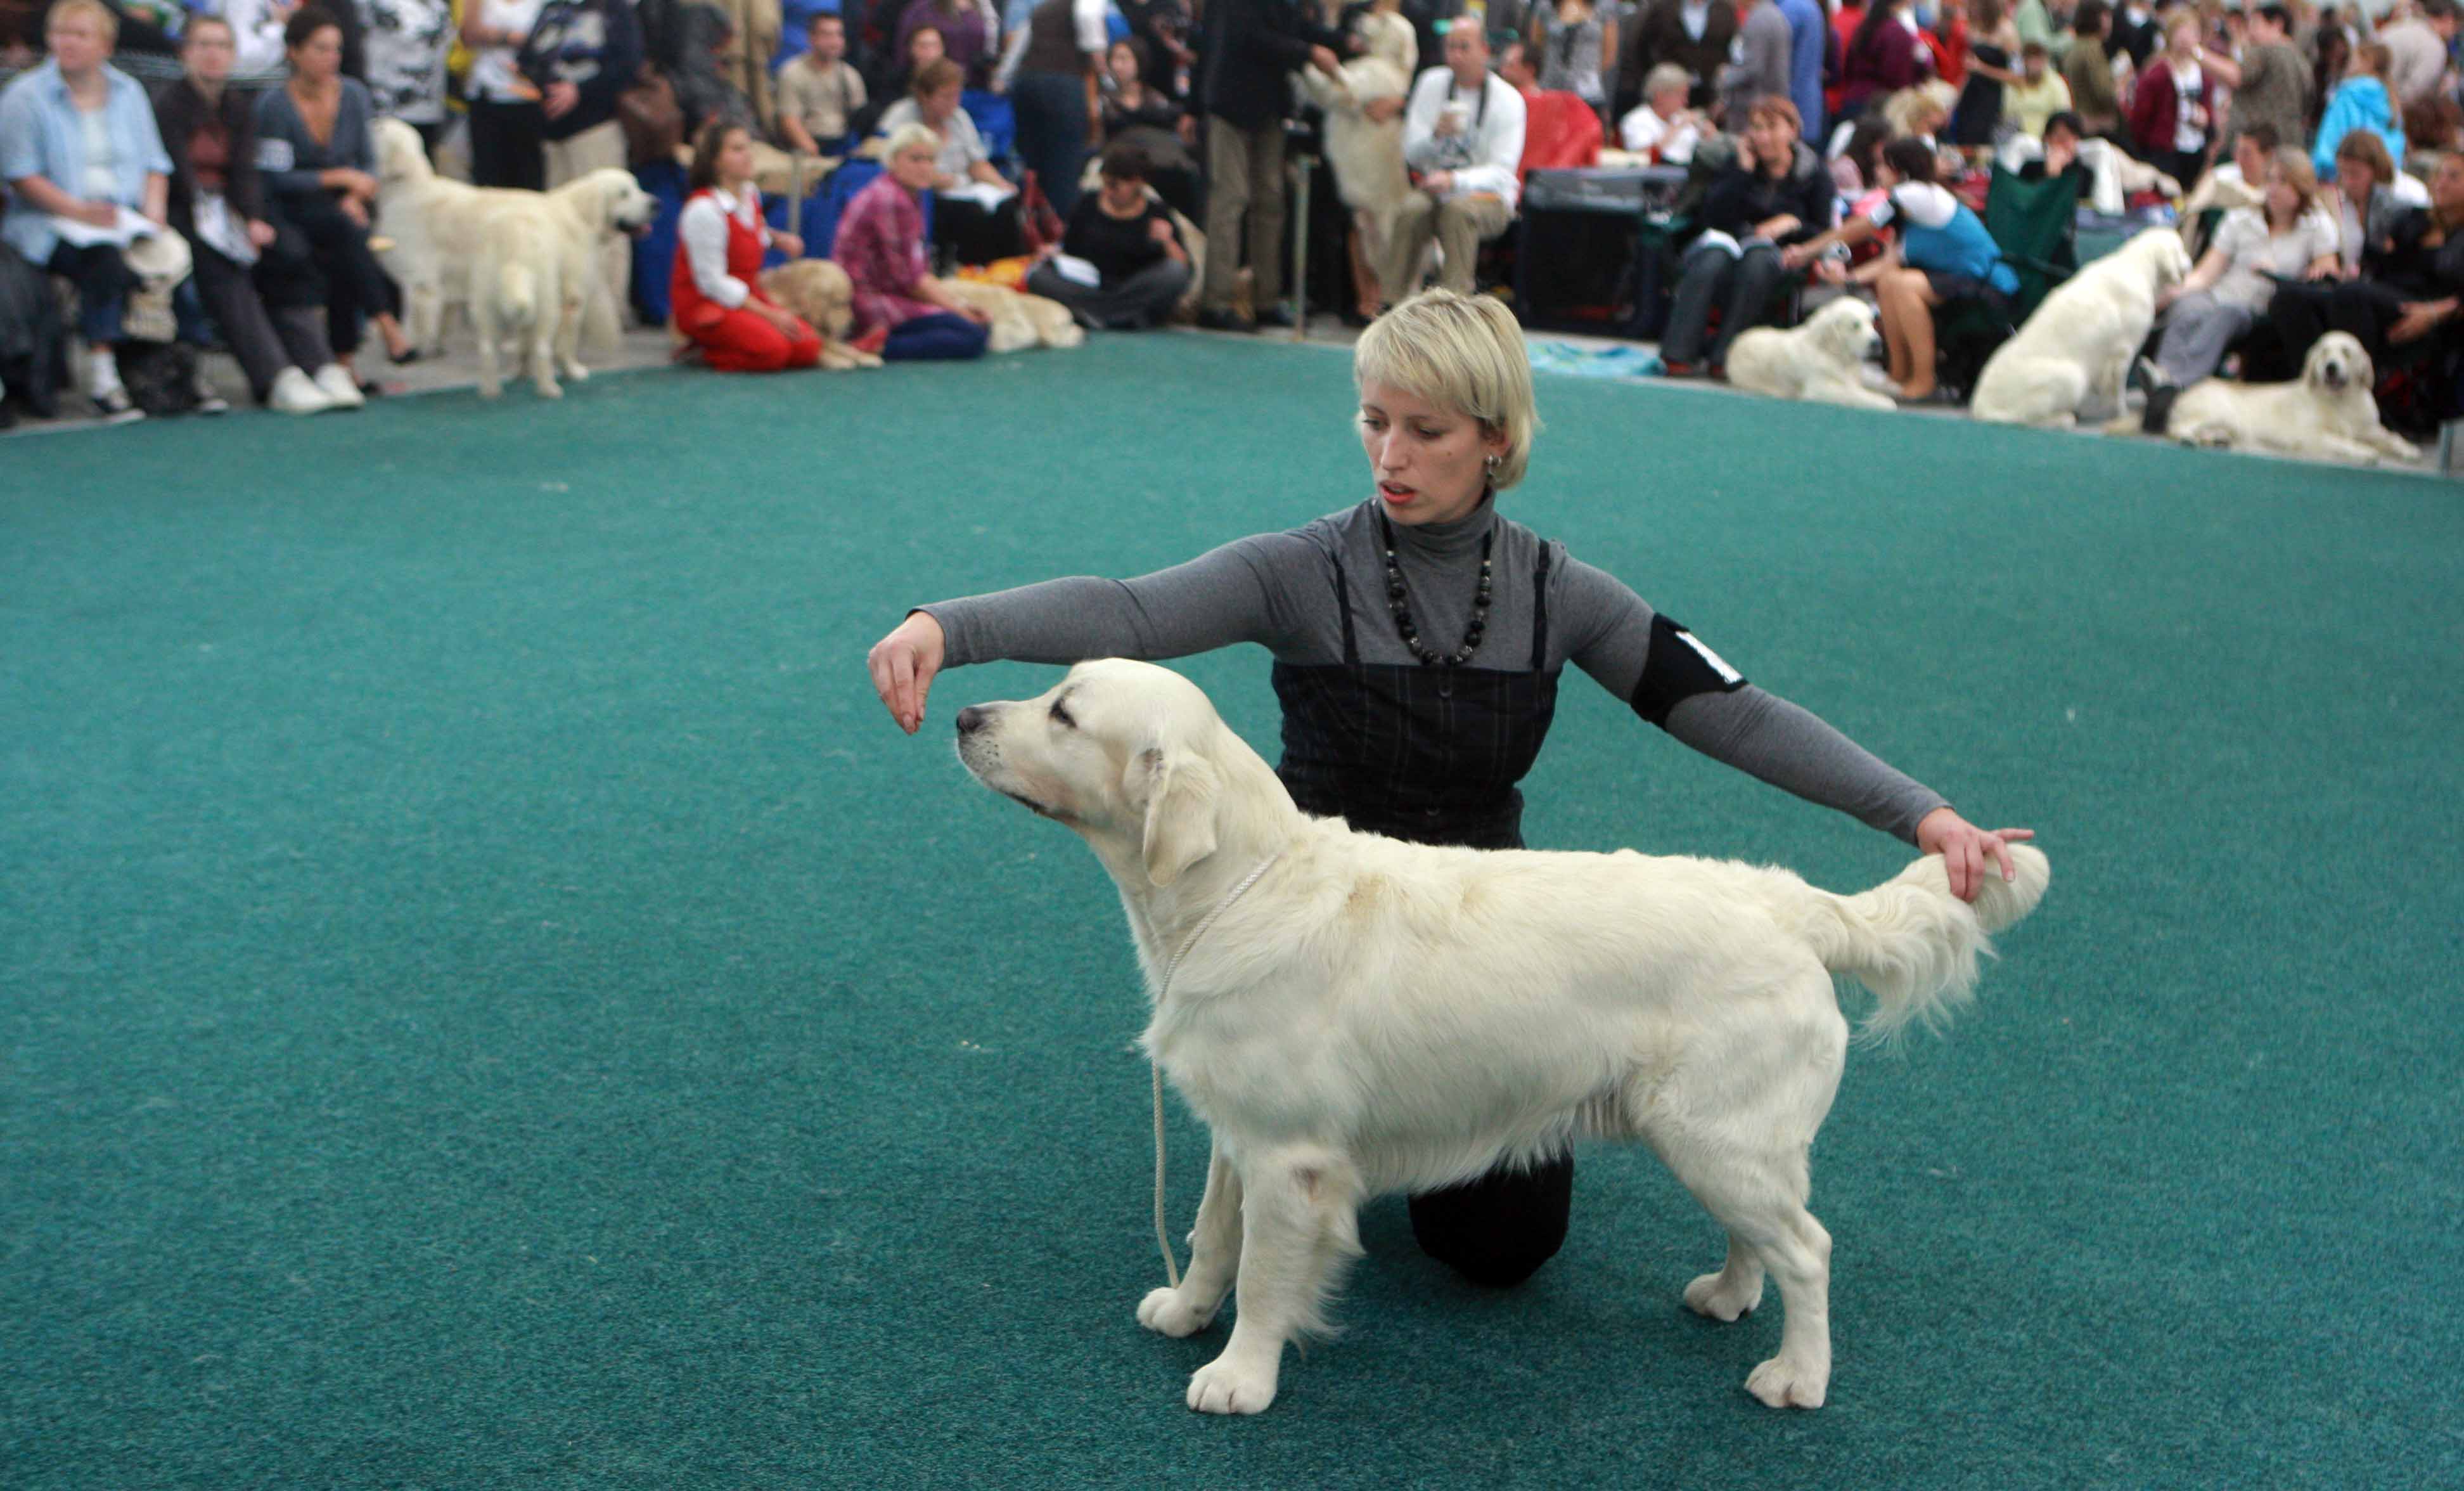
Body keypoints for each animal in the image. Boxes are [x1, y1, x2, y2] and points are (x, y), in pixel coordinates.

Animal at [470, 169, 660, 399]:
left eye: (638, 187)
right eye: (624, 194)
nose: (656, 204)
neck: (583, 215)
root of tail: (513, 235)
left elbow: (524, 342)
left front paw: (522, 373)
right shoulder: (574, 299)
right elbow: (565, 345)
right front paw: (573, 372)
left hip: (488, 302)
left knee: (487, 350)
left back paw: (490, 391)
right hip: (547, 301)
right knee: (542, 348)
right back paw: (549, 389)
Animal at [951, 655, 2050, 1409]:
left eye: (1064, 711)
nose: (963, 714)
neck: (1235, 893)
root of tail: (1791, 904)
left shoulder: (1290, 1157)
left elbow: (1264, 1270)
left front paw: (1240, 1377)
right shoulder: (1238, 1134)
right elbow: (1213, 1236)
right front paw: (1185, 1314)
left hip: (1716, 1135)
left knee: (1811, 1250)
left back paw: (1796, 1375)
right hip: (1720, 1140)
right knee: (1766, 1237)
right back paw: (1729, 1297)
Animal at [1724, 293, 1892, 409]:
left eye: (1871, 322)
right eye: (1855, 325)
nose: (1877, 343)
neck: (1833, 353)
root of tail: (1736, 342)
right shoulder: (1818, 388)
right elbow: (1853, 394)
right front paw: (1884, 402)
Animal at [1961, 226, 2198, 426]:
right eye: (2182, 250)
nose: (2192, 262)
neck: (2140, 265)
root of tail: (1981, 407)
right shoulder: (2122, 352)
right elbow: (2117, 390)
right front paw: (2121, 414)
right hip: (2072, 377)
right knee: (2027, 418)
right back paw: (2063, 418)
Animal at [2138, 330, 2424, 465]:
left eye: (2346, 352)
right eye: (2324, 352)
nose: (2330, 367)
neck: (2343, 401)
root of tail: (2188, 389)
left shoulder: (2370, 429)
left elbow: (2391, 437)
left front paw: (2408, 449)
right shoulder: (2312, 435)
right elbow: (2342, 441)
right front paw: (2364, 451)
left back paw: (2215, 439)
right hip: (2219, 409)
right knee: (2177, 427)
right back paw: (2191, 438)